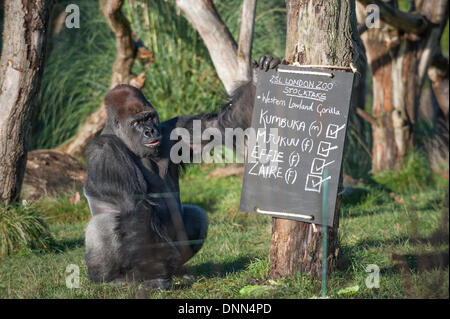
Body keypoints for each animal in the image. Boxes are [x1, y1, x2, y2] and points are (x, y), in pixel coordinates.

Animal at [84, 55, 282, 290]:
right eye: (137, 122)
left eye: (149, 118)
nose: (150, 131)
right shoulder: (106, 154)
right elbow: (138, 209)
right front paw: (155, 278)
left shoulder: (172, 128)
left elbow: (220, 125)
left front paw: (259, 74)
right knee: (104, 224)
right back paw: (114, 278)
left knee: (197, 215)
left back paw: (178, 272)